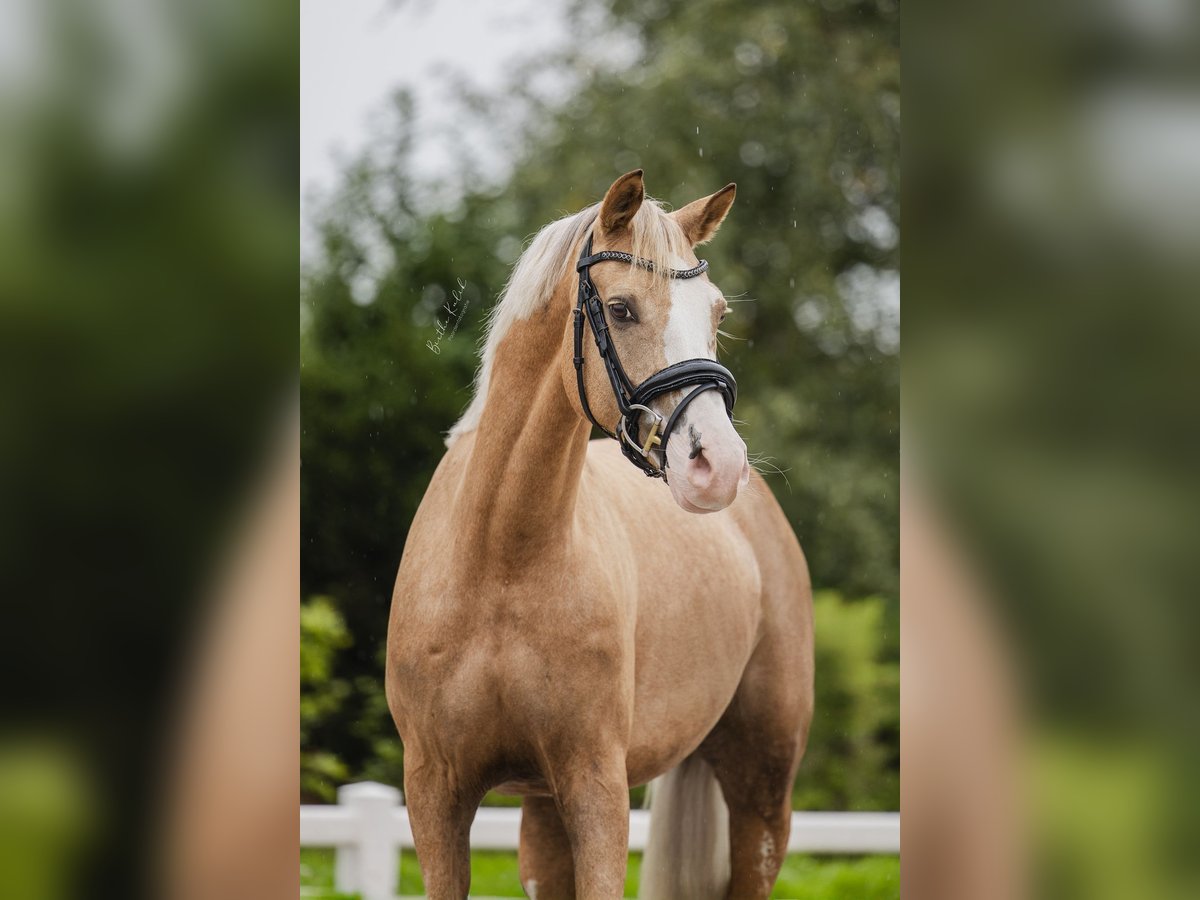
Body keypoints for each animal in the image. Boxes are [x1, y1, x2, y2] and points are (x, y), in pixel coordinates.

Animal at [386, 170, 814, 900]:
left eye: (718, 313)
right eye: (620, 309)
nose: (718, 465)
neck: (501, 561)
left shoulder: (596, 788)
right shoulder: (435, 795)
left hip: (763, 789)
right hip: (544, 811)